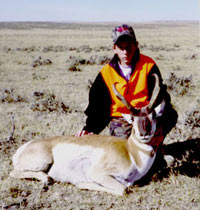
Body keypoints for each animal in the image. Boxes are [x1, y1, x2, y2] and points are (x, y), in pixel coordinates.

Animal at [9, 74, 166, 195]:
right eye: (133, 119)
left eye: (154, 116)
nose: (144, 134)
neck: (130, 152)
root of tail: (24, 147)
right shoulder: (98, 173)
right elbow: (123, 190)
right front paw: (82, 183)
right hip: (44, 161)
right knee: (14, 173)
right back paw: (46, 178)